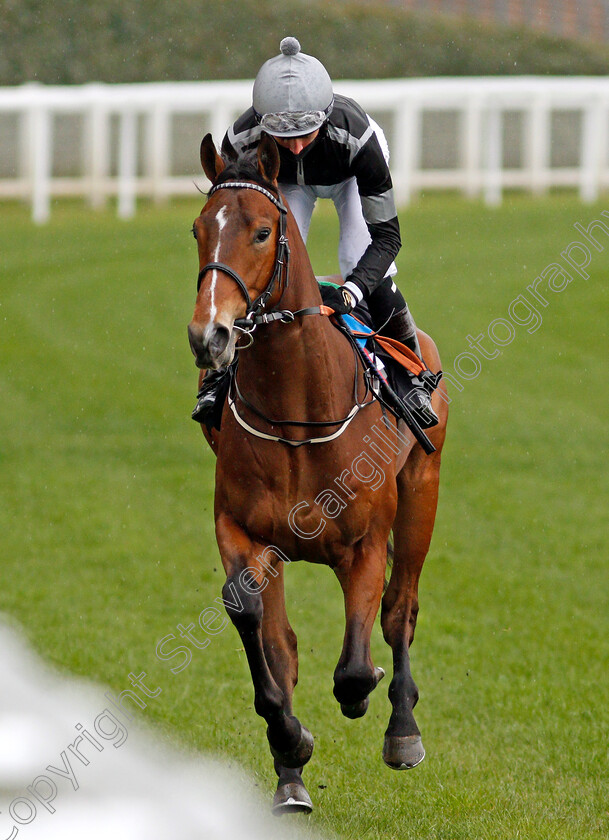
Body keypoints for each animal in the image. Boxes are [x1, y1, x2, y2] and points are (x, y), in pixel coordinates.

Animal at [185, 133, 446, 812]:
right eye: (198, 229)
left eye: (260, 231)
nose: (209, 335)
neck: (296, 417)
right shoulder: (243, 534)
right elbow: (264, 635)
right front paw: (291, 744)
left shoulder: (364, 544)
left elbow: (355, 663)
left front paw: (368, 696)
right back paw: (292, 776)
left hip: (421, 494)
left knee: (401, 609)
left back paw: (402, 728)